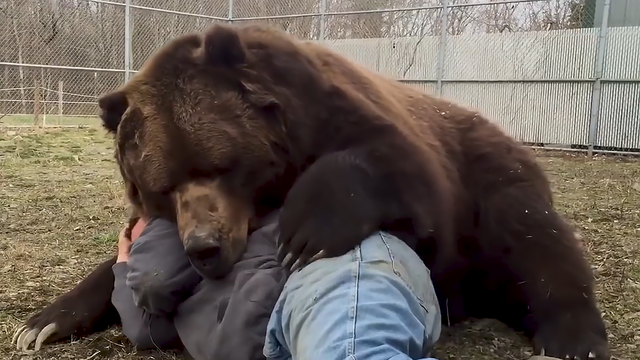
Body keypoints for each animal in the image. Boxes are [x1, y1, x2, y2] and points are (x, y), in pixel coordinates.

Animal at [12, 23, 608, 360]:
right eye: (163, 185)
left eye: (223, 165)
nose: (204, 246)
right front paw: (40, 323)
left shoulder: (348, 120)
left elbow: (394, 170)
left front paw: (307, 230)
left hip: (493, 177)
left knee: (534, 239)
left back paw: (572, 337)